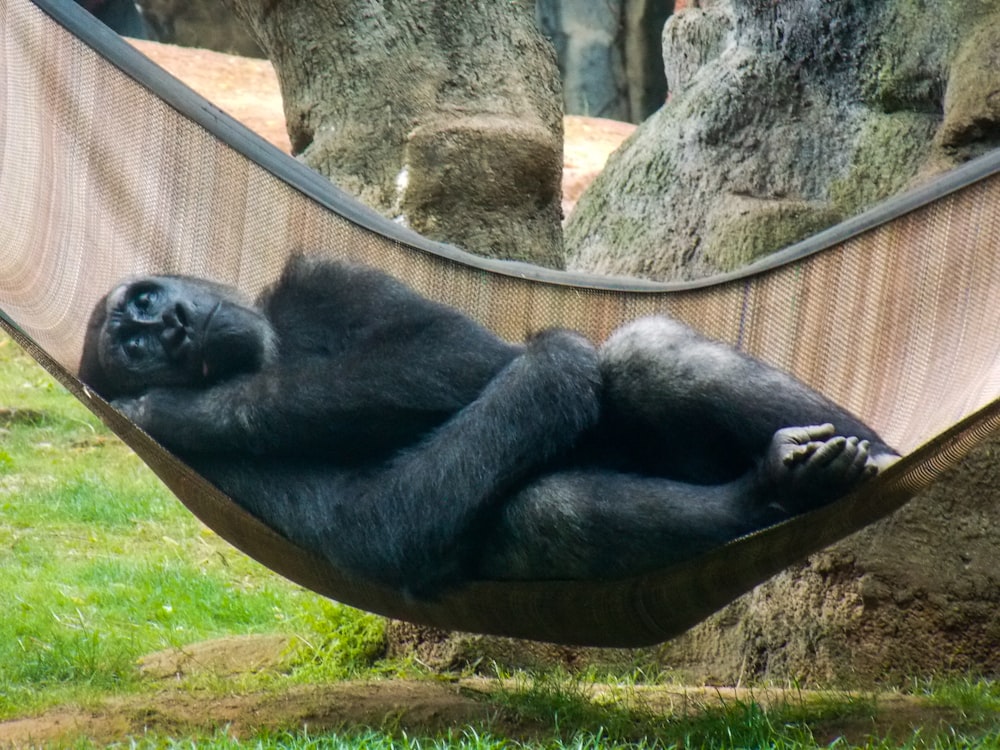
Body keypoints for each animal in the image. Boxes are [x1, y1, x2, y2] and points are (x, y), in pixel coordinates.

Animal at [80, 256, 900, 596]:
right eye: (131, 348)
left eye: (144, 303)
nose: (167, 328)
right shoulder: (228, 476)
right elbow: (368, 522)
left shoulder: (330, 280)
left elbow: (447, 352)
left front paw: (184, 407)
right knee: (551, 508)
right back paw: (765, 491)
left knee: (650, 355)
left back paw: (879, 457)